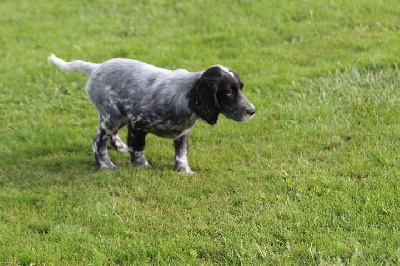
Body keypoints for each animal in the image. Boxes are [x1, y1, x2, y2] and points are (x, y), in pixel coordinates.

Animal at [48, 54, 255, 175]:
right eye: (229, 92)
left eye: (241, 88)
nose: (252, 111)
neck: (185, 95)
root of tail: (96, 67)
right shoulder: (138, 123)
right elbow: (138, 148)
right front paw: (141, 167)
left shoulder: (182, 133)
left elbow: (181, 153)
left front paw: (184, 171)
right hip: (112, 115)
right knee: (97, 141)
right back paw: (106, 165)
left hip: (119, 115)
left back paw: (120, 147)